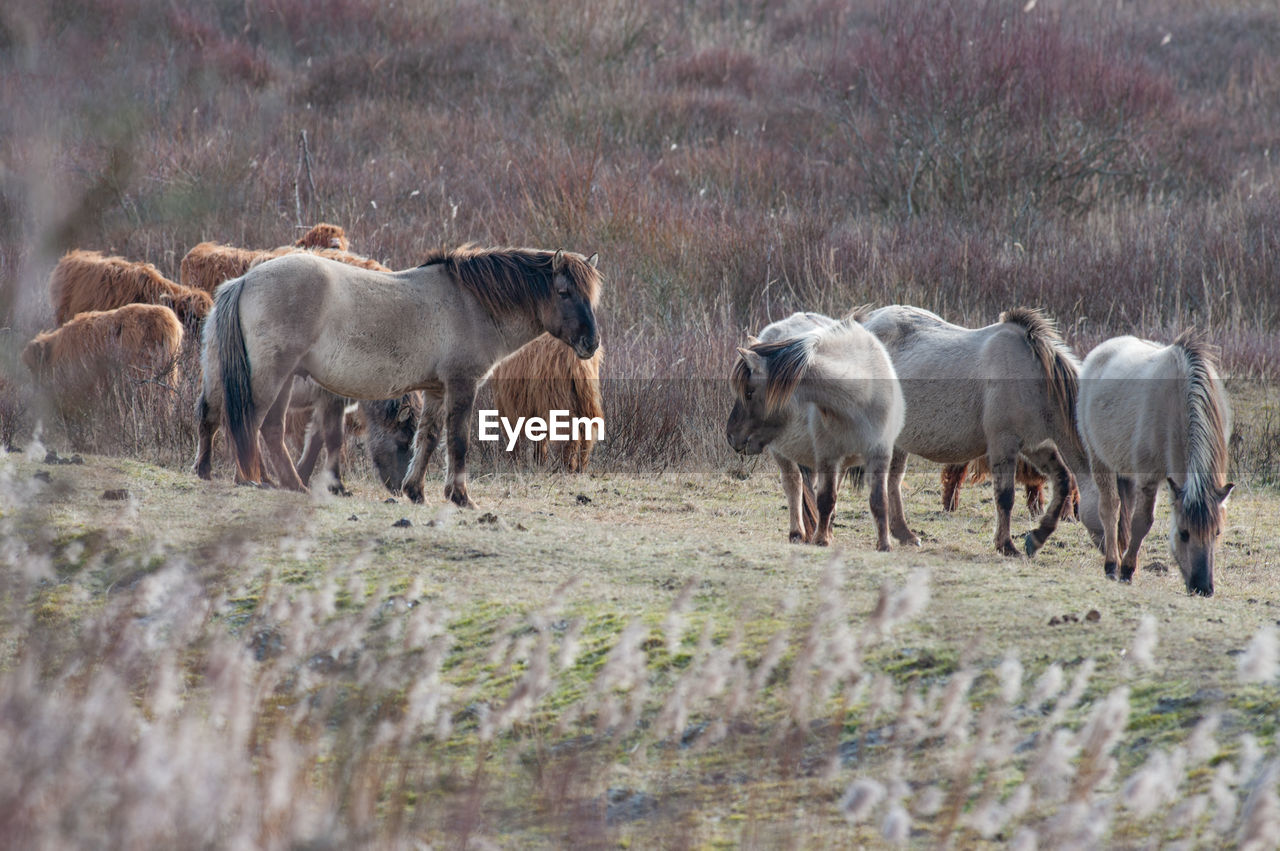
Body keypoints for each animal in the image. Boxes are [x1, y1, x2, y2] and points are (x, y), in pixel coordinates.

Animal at [192, 241, 601, 504]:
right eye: (563, 291)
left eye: (592, 295)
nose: (591, 342)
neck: (470, 303)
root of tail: (244, 280)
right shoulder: (461, 385)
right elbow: (458, 441)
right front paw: (460, 497)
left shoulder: (436, 390)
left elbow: (429, 439)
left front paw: (415, 491)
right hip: (271, 378)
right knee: (251, 425)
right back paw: (261, 481)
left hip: (281, 381)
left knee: (265, 430)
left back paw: (286, 485)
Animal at [727, 312, 906, 550]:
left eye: (748, 393)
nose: (731, 436)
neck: (860, 397)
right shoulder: (827, 455)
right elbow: (825, 498)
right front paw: (820, 539)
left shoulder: (880, 453)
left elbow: (878, 500)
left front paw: (884, 544)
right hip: (782, 452)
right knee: (794, 485)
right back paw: (798, 533)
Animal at [860, 305, 1090, 557]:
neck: (1036, 380)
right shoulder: (1003, 444)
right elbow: (1005, 496)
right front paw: (1006, 545)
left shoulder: (1035, 446)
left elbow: (1062, 479)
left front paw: (1035, 538)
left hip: (899, 442)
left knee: (893, 481)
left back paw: (905, 534)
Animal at [1075, 327, 1233, 593]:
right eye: (1183, 533)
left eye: (1217, 533)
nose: (1202, 588)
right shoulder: (1148, 479)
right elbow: (1142, 522)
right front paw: (1126, 570)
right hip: (1100, 461)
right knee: (1110, 509)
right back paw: (1112, 564)